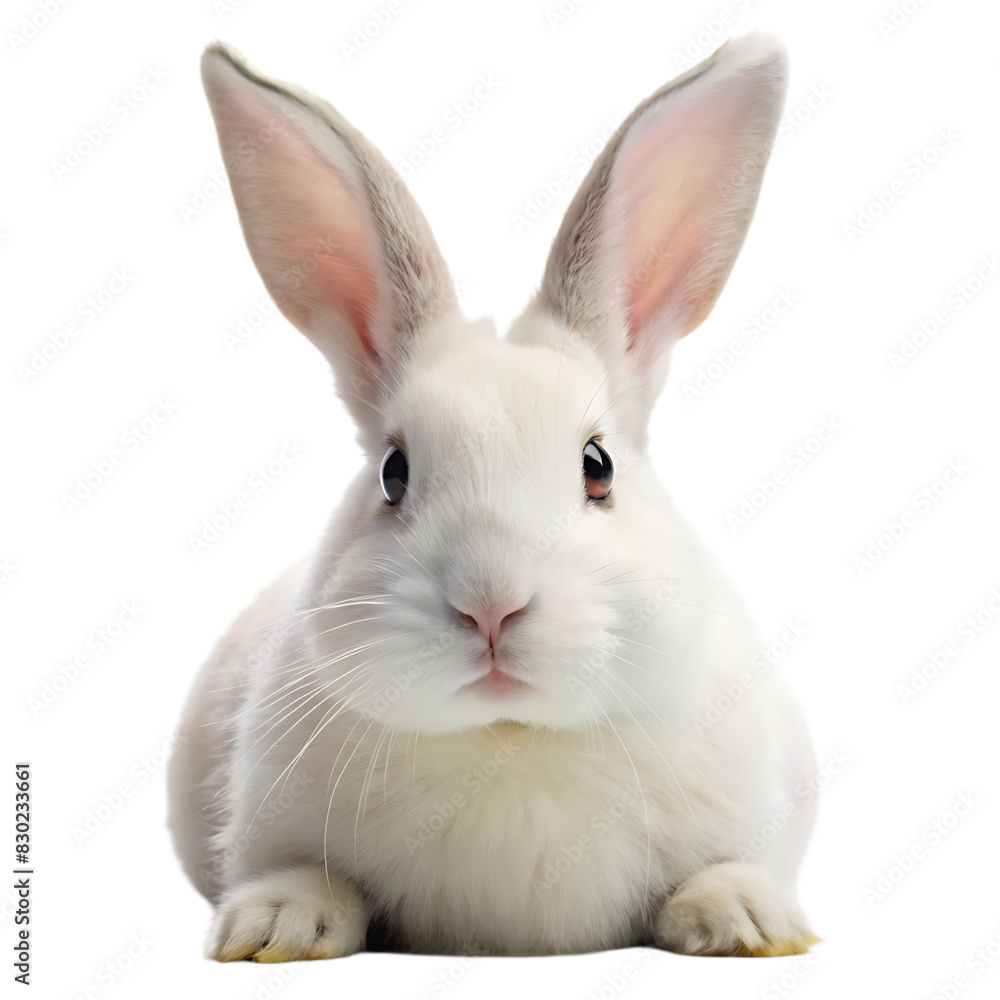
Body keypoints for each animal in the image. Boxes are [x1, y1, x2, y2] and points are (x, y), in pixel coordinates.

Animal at [167, 32, 819, 962]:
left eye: (598, 466)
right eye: (393, 473)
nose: (491, 606)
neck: (509, 739)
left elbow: (730, 866)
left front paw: (746, 920)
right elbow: (302, 874)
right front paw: (274, 927)